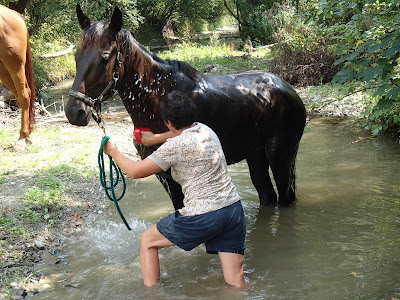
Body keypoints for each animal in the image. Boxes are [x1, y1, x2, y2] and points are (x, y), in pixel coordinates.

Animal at [67, 4, 308, 211]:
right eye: (76, 56)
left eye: (105, 57)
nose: (74, 111)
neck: (159, 97)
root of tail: (289, 89)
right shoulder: (163, 176)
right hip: (256, 156)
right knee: (268, 196)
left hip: (281, 157)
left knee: (285, 198)